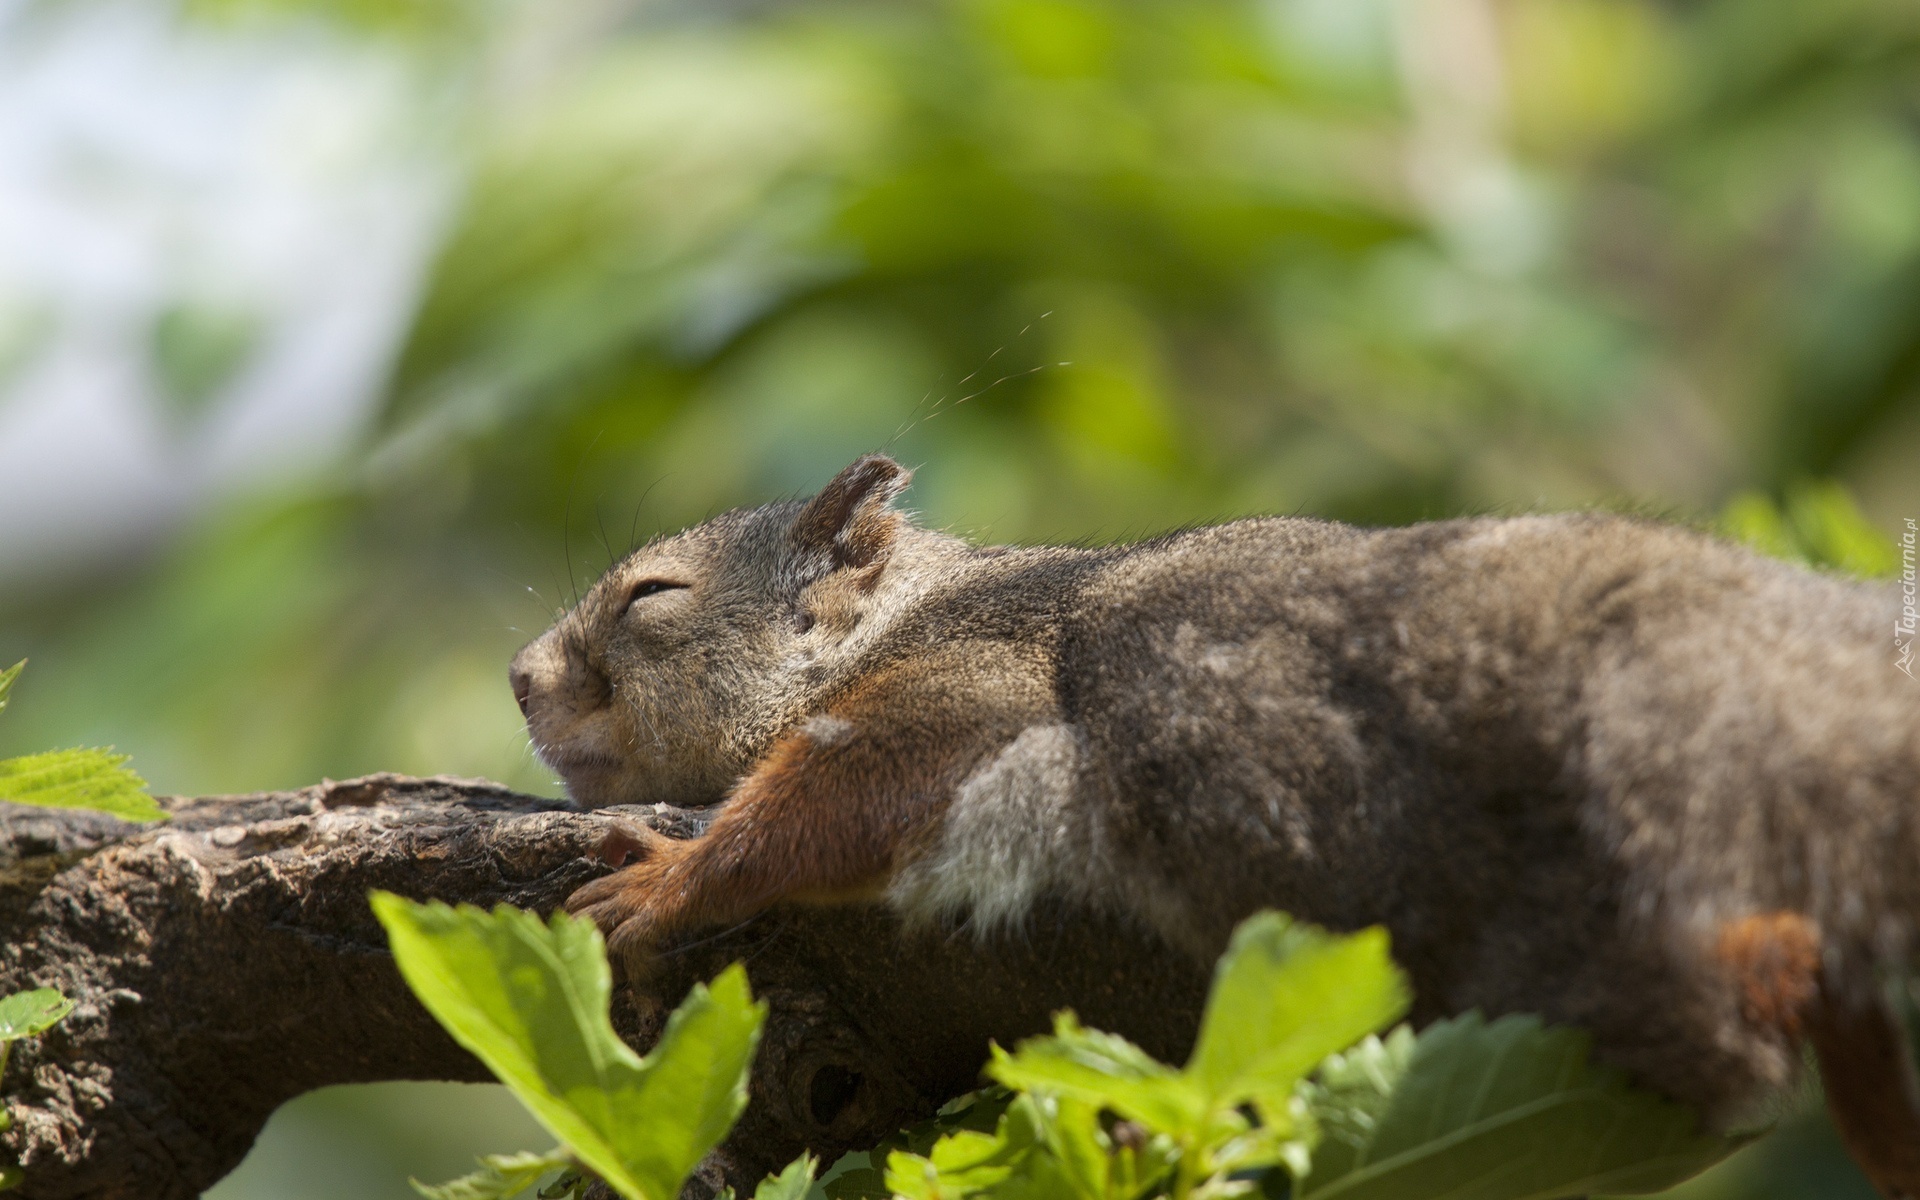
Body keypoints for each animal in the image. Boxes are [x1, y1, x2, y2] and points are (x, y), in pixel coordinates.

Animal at [506, 453, 1920, 1190]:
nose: (518, 677)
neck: (906, 618)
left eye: (652, 598)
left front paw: (671, 877)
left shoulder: (973, 686)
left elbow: (850, 792)